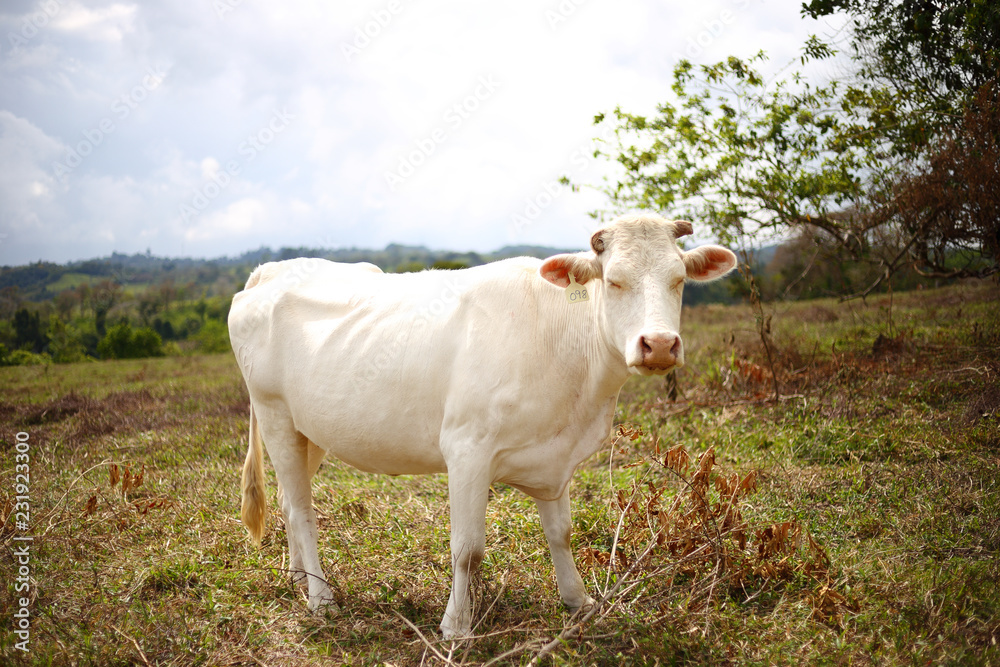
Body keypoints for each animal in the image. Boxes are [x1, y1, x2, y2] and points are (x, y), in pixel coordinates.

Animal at [228, 213, 737, 638]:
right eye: (614, 281)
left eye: (679, 280)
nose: (660, 344)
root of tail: (271, 270)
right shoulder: (466, 449)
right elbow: (467, 549)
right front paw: (456, 626)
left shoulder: (555, 458)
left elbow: (561, 533)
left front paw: (579, 602)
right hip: (273, 413)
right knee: (301, 511)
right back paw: (321, 598)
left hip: (308, 430)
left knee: (289, 499)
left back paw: (298, 577)